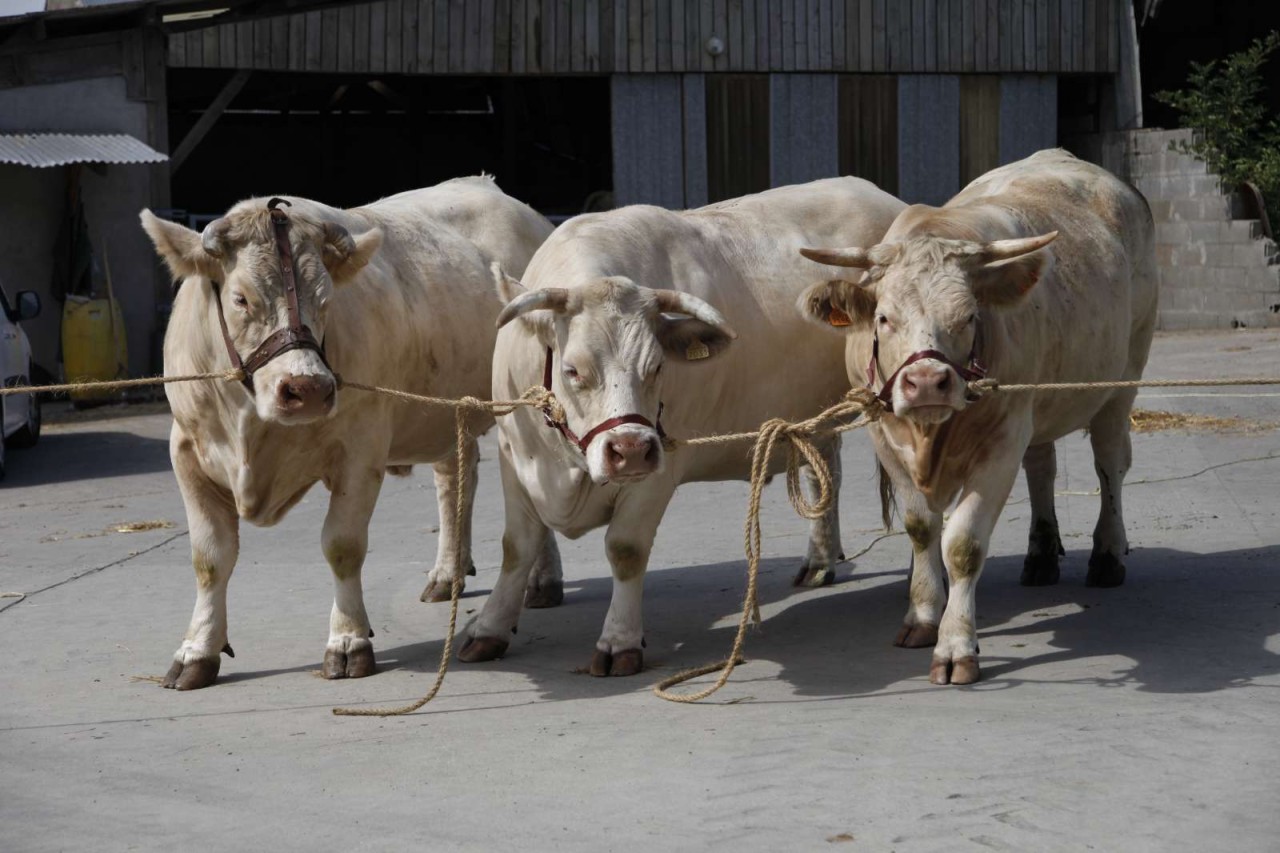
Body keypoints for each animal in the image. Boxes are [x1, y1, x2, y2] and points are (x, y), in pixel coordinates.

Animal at [140, 175, 550, 686]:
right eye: (241, 299)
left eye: (326, 300)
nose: (307, 388)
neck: (251, 425)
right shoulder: (186, 452)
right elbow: (210, 558)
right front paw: (197, 650)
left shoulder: (361, 449)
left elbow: (342, 545)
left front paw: (349, 640)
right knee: (456, 477)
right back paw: (447, 574)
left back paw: (543, 581)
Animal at [455, 175, 906, 676]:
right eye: (572, 370)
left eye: (656, 368)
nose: (629, 449)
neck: (568, 467)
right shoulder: (514, 455)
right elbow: (517, 545)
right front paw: (489, 629)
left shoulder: (662, 465)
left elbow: (625, 549)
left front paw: (619, 641)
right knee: (824, 470)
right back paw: (820, 562)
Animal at [798, 149, 1162, 686]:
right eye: (883, 318)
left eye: (969, 317)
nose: (927, 382)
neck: (931, 437)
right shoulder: (885, 435)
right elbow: (921, 527)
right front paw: (923, 616)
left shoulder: (1003, 438)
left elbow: (963, 544)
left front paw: (956, 647)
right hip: (1040, 403)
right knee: (1042, 467)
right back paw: (1040, 555)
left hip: (1123, 378)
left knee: (1110, 463)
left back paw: (1107, 556)